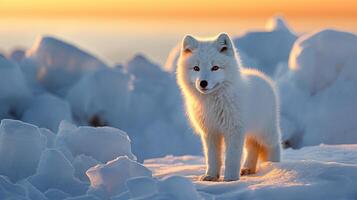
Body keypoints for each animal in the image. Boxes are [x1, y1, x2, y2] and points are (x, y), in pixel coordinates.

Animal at [177, 33, 280, 181]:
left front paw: (230, 179)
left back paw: (275, 167)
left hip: (265, 132)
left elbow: (231, 158)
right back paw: (248, 168)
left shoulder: (234, 131)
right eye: (196, 68)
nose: (203, 83)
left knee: (275, 144)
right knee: (253, 148)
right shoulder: (210, 132)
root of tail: (263, 77)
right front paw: (211, 176)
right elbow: (212, 158)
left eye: (215, 67)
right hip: (249, 133)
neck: (212, 103)